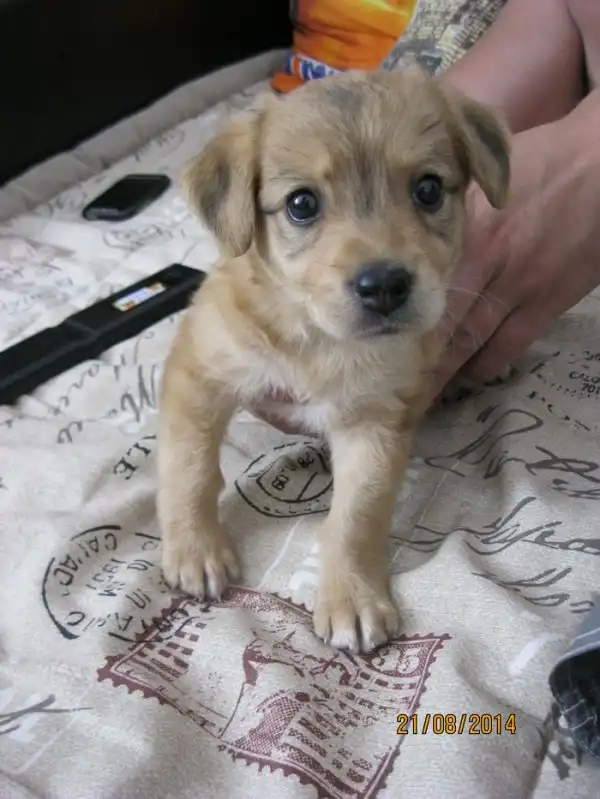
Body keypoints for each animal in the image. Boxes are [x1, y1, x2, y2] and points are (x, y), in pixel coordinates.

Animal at [157, 68, 510, 653]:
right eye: (301, 204)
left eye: (428, 189)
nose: (385, 285)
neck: (319, 341)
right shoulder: (200, 370)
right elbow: (189, 468)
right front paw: (195, 550)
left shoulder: (376, 419)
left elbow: (356, 515)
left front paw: (352, 597)